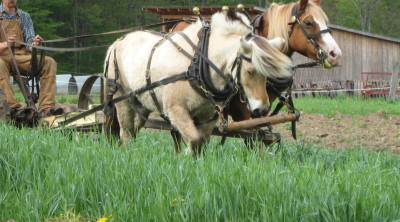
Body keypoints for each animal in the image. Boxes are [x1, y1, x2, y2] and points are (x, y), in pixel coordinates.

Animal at [104, 10, 292, 156]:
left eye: (266, 73)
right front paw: (184, 157)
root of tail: (117, 42)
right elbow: (194, 141)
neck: (198, 66)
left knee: (134, 128)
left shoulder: (207, 118)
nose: (262, 108)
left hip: (142, 103)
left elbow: (201, 144)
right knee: (125, 132)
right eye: (249, 71)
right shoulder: (176, 111)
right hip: (123, 99)